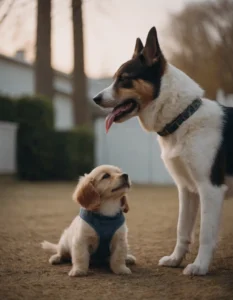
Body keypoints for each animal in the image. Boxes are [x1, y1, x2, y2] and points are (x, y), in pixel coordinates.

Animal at [93, 27, 233, 276]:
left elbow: (206, 233)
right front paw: (176, 259)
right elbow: (182, 229)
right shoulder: (187, 190)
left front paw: (200, 266)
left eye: (124, 79)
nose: (95, 99)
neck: (184, 117)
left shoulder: (211, 189)